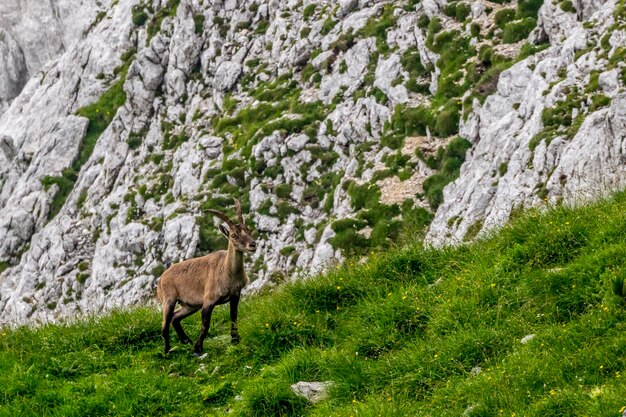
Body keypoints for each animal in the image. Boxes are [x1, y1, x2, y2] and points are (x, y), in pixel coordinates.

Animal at [155, 199, 255, 354]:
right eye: (233, 235)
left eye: (249, 230)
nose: (252, 244)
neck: (227, 272)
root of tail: (161, 279)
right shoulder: (208, 300)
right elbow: (205, 325)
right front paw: (198, 348)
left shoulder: (235, 294)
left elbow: (233, 317)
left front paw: (235, 340)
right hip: (168, 300)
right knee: (164, 325)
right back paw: (167, 350)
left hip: (190, 305)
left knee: (175, 318)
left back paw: (186, 341)